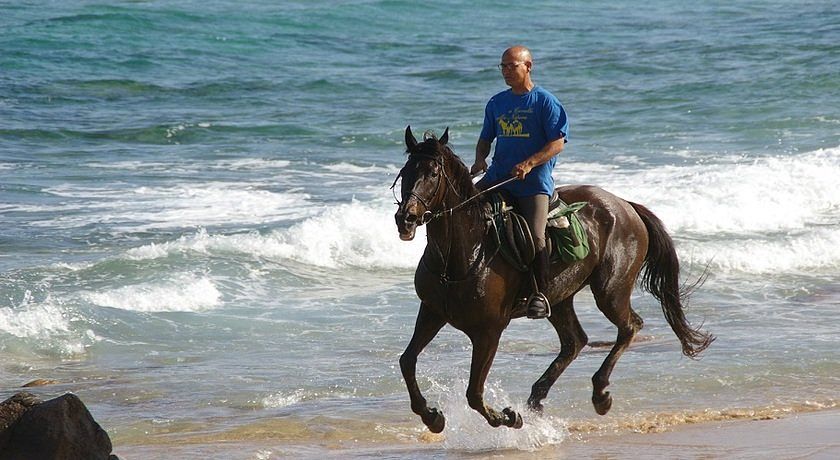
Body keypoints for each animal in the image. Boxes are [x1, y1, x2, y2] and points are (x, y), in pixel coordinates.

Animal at [396, 125, 716, 432]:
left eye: (432, 174)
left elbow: (474, 393)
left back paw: (600, 394)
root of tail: (624, 204)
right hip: (560, 295)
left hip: (610, 290)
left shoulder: (489, 330)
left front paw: (508, 418)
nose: (405, 219)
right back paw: (536, 399)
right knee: (575, 341)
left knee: (629, 327)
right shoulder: (432, 312)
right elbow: (407, 361)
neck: (464, 253)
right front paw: (431, 416)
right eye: (405, 172)